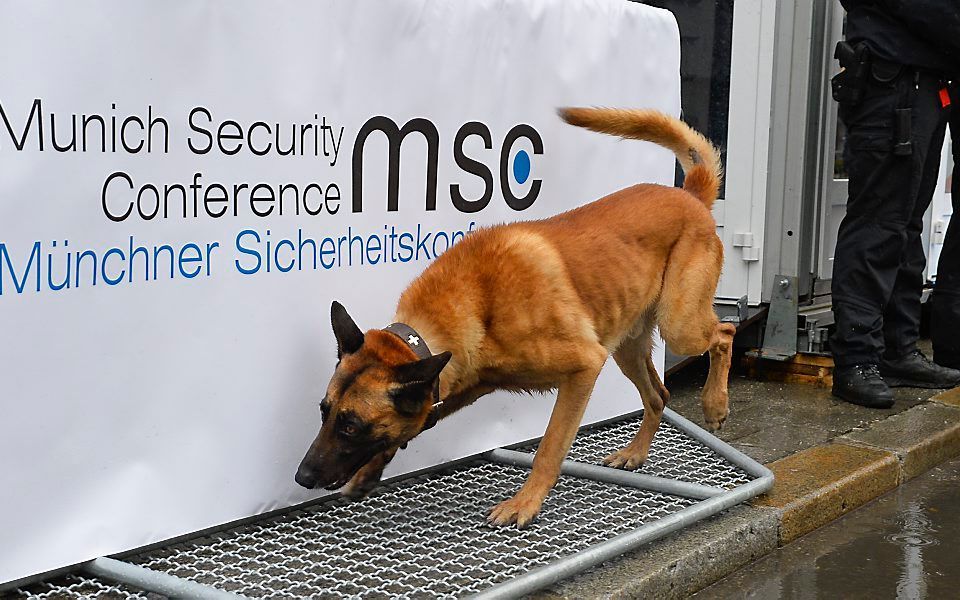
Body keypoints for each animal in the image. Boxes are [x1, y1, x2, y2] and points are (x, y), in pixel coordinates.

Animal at [294, 108, 736, 528]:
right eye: (324, 411)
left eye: (351, 425)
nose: (302, 477)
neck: (475, 302)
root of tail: (690, 196)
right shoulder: (461, 384)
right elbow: (419, 420)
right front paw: (368, 472)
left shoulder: (583, 367)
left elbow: (550, 447)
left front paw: (525, 504)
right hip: (627, 345)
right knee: (659, 395)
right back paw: (636, 452)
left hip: (678, 327)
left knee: (725, 332)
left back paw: (715, 404)